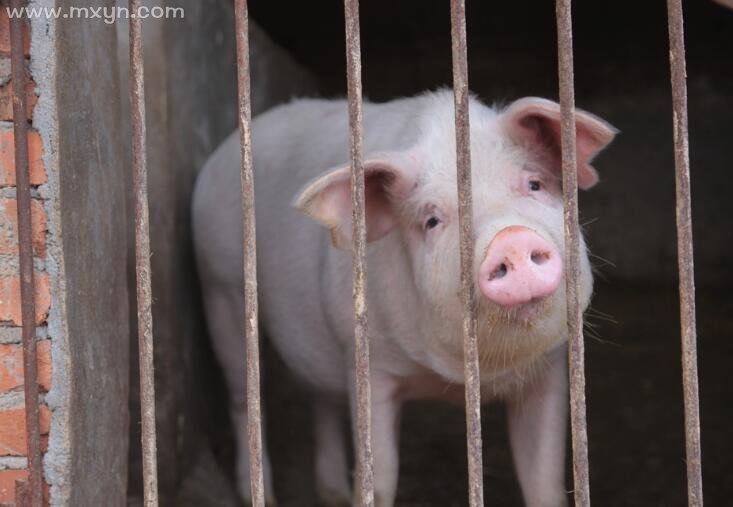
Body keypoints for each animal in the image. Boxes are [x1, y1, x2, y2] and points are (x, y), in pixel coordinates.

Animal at [192, 90, 616, 507]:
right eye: (431, 220)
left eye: (535, 184)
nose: (511, 239)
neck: (453, 378)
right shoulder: (369, 365)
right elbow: (379, 480)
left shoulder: (548, 372)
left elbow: (543, 481)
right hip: (221, 288)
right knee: (244, 399)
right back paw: (258, 494)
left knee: (322, 400)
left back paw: (333, 494)